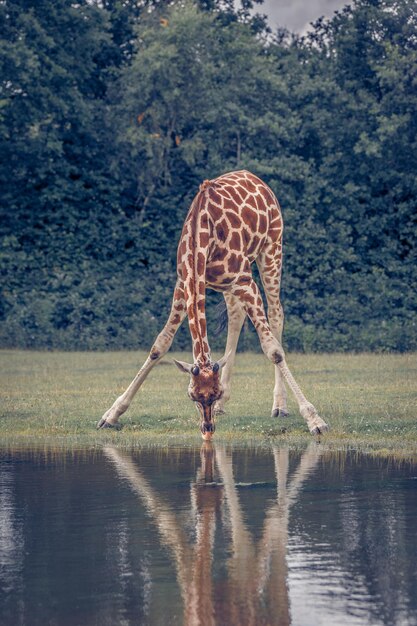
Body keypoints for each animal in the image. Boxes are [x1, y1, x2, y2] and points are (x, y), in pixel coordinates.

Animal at [97, 168, 328, 436]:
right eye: (193, 396)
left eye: (213, 393)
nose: (207, 427)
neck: (201, 237)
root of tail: (255, 178)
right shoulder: (184, 284)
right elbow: (160, 344)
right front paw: (111, 414)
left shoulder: (245, 281)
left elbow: (273, 350)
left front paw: (314, 419)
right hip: (229, 284)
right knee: (236, 314)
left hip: (272, 249)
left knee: (276, 313)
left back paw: (279, 406)